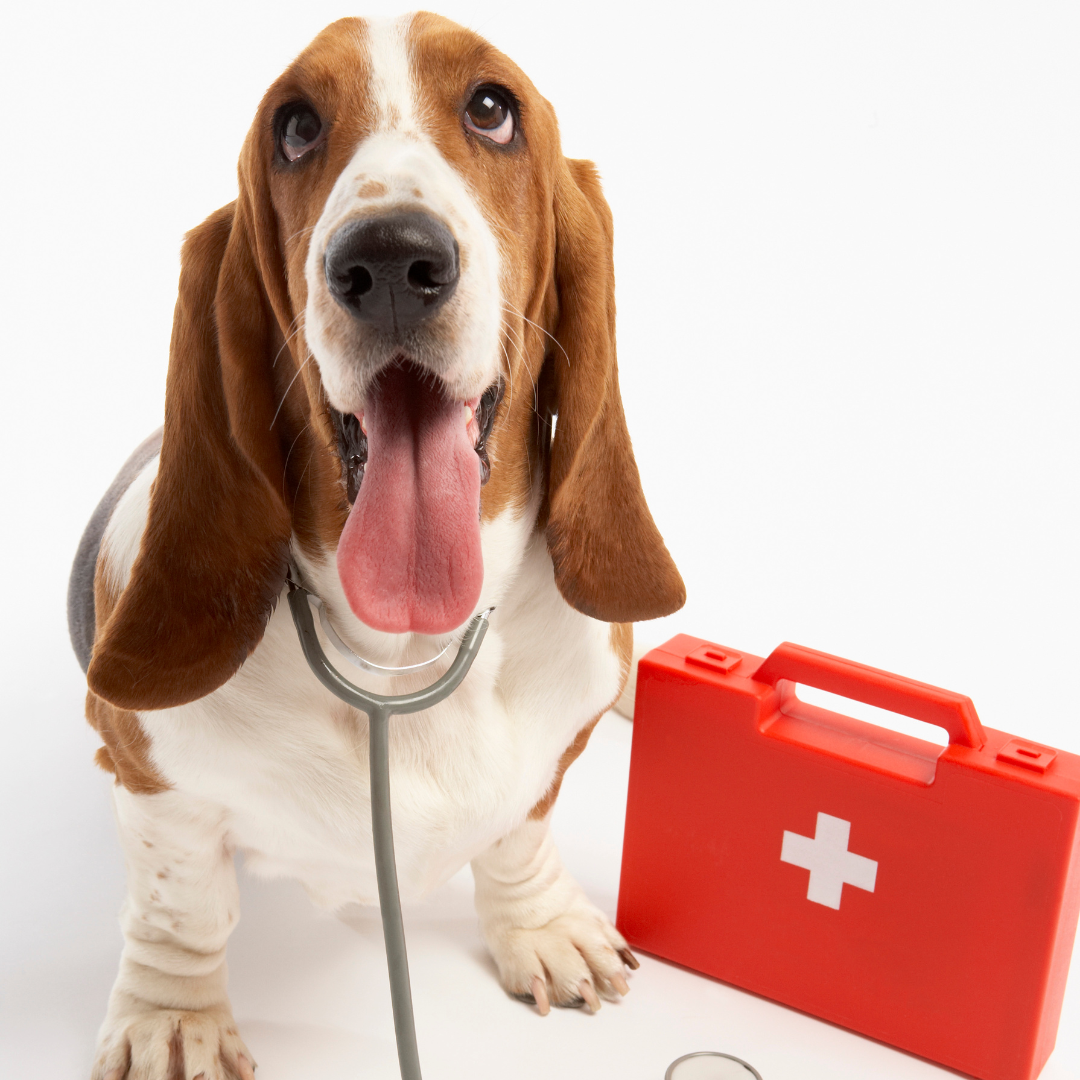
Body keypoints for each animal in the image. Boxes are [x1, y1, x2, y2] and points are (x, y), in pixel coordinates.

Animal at [69, 12, 682, 1075]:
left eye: (492, 108)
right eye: (296, 127)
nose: (391, 259)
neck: (403, 651)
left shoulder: (552, 751)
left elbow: (519, 831)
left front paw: (541, 927)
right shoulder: (149, 776)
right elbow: (182, 904)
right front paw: (173, 1017)